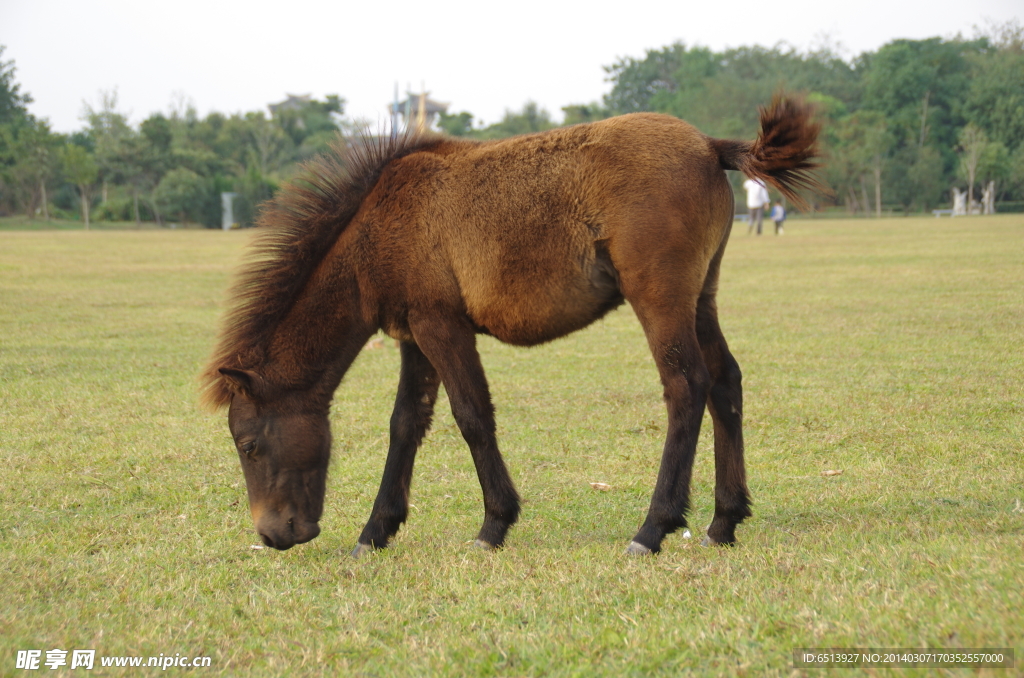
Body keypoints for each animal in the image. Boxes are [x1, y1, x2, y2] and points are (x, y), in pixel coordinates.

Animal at [199, 99, 819, 557]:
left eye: (249, 444)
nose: (272, 535)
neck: (376, 229)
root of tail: (710, 145)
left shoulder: (441, 326)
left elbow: (471, 416)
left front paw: (493, 525)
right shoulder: (414, 334)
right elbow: (406, 424)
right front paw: (375, 533)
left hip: (659, 296)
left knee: (685, 386)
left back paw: (653, 528)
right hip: (700, 298)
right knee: (725, 381)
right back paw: (723, 521)